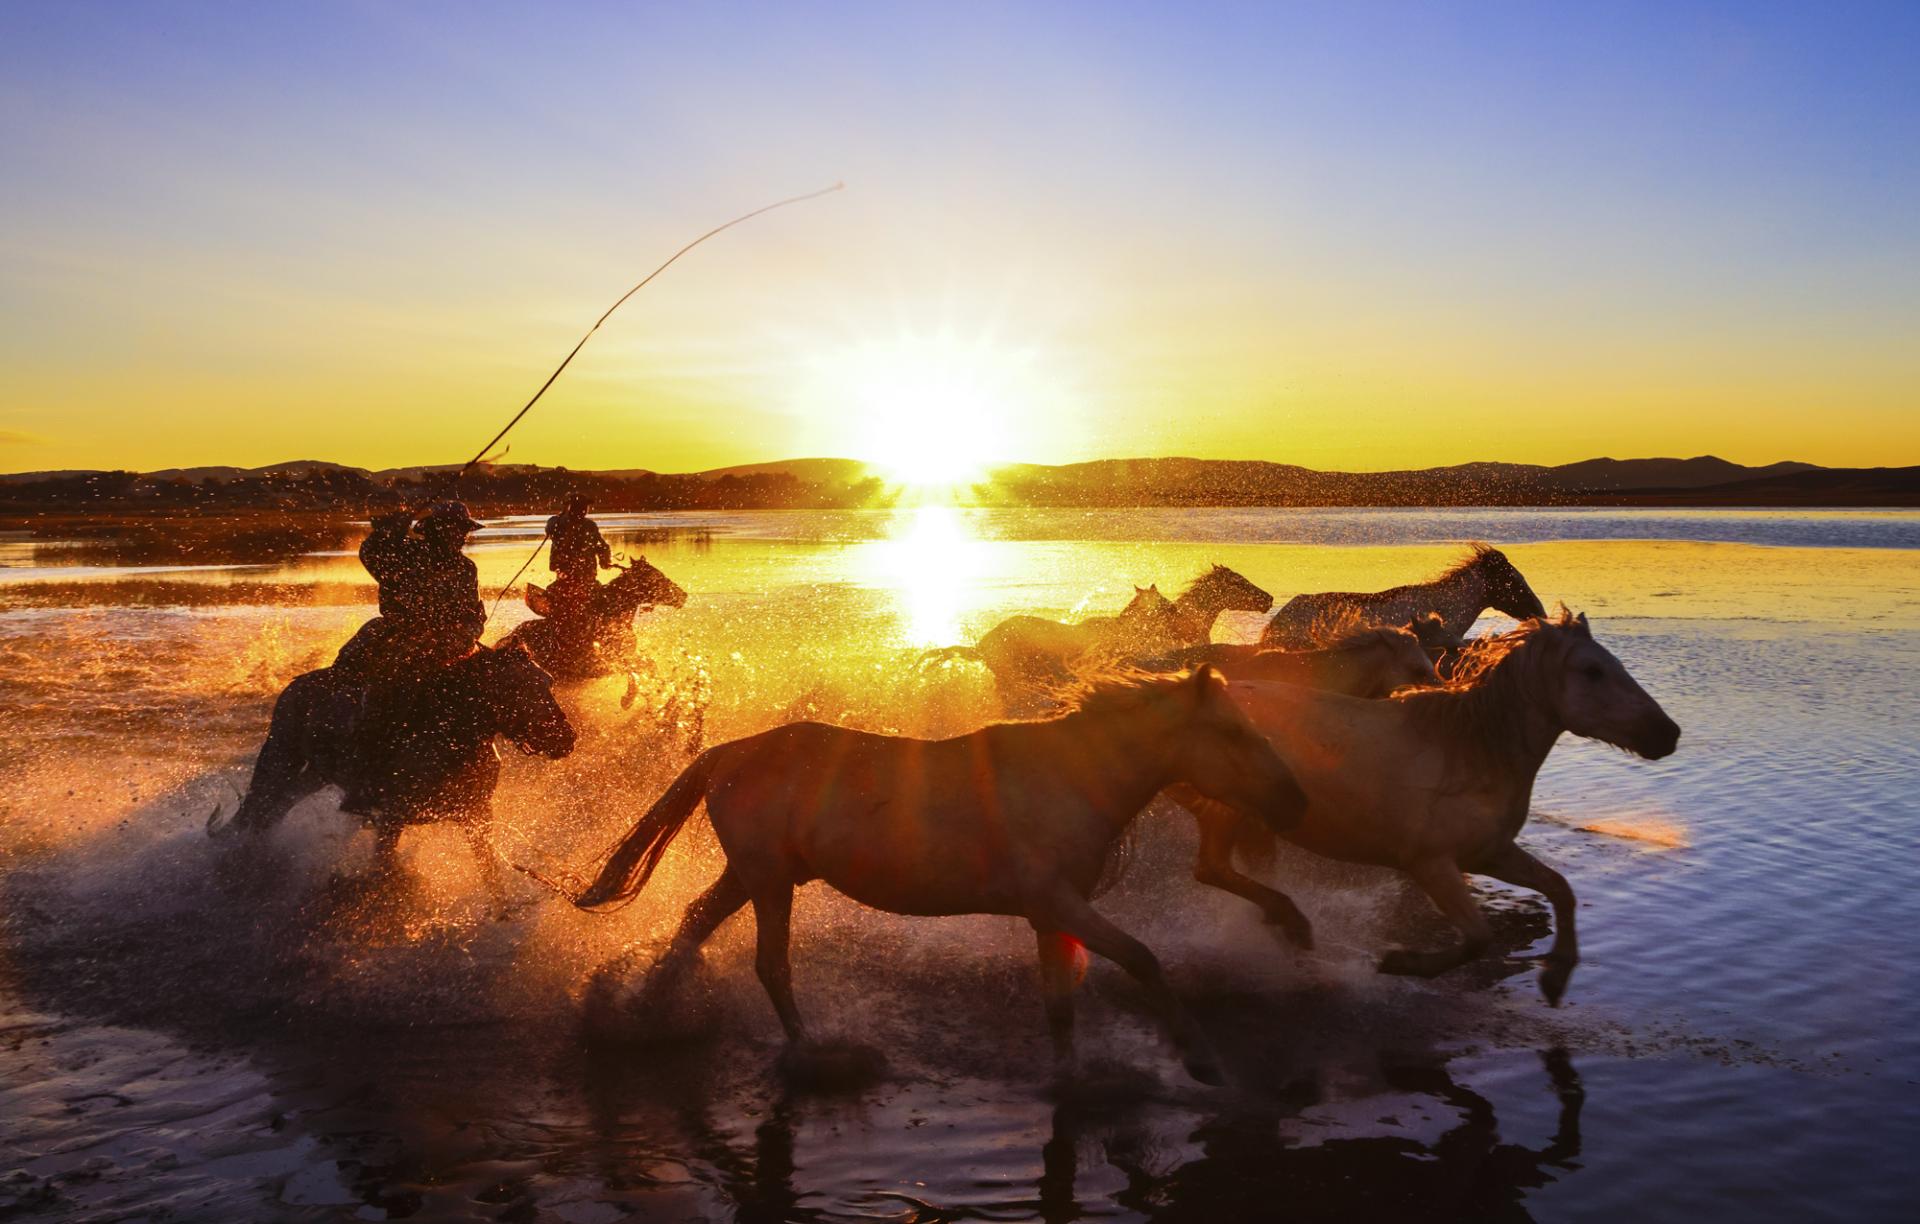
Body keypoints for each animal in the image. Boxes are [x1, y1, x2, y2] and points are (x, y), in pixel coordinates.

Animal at [210, 648, 572, 897]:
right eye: (517, 688)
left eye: (547, 682)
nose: (566, 739)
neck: (449, 733)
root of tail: (298, 683)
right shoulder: (392, 816)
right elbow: (382, 871)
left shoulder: (477, 815)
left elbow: (491, 875)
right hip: (279, 757)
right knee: (256, 809)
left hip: (312, 775)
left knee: (275, 809)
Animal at [568, 671, 1305, 1082]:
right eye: (1232, 733)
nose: (1295, 798)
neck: (1071, 777)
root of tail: (729, 753)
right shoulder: (1061, 903)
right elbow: (1143, 958)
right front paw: (1201, 1060)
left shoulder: (1050, 916)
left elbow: (1059, 1005)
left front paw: (1075, 1077)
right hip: (768, 880)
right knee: (769, 964)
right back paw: (816, 1057)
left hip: (756, 875)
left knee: (695, 924)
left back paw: (644, 1011)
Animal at [1175, 613, 1674, 1005]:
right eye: (1593, 671)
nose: (1668, 733)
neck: (1468, 753)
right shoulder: (1430, 864)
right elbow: (1479, 937)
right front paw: (1400, 962)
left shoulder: (1490, 854)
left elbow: (1560, 889)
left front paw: (1556, 978)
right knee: (1211, 869)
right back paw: (1292, 926)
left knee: (1224, 869)